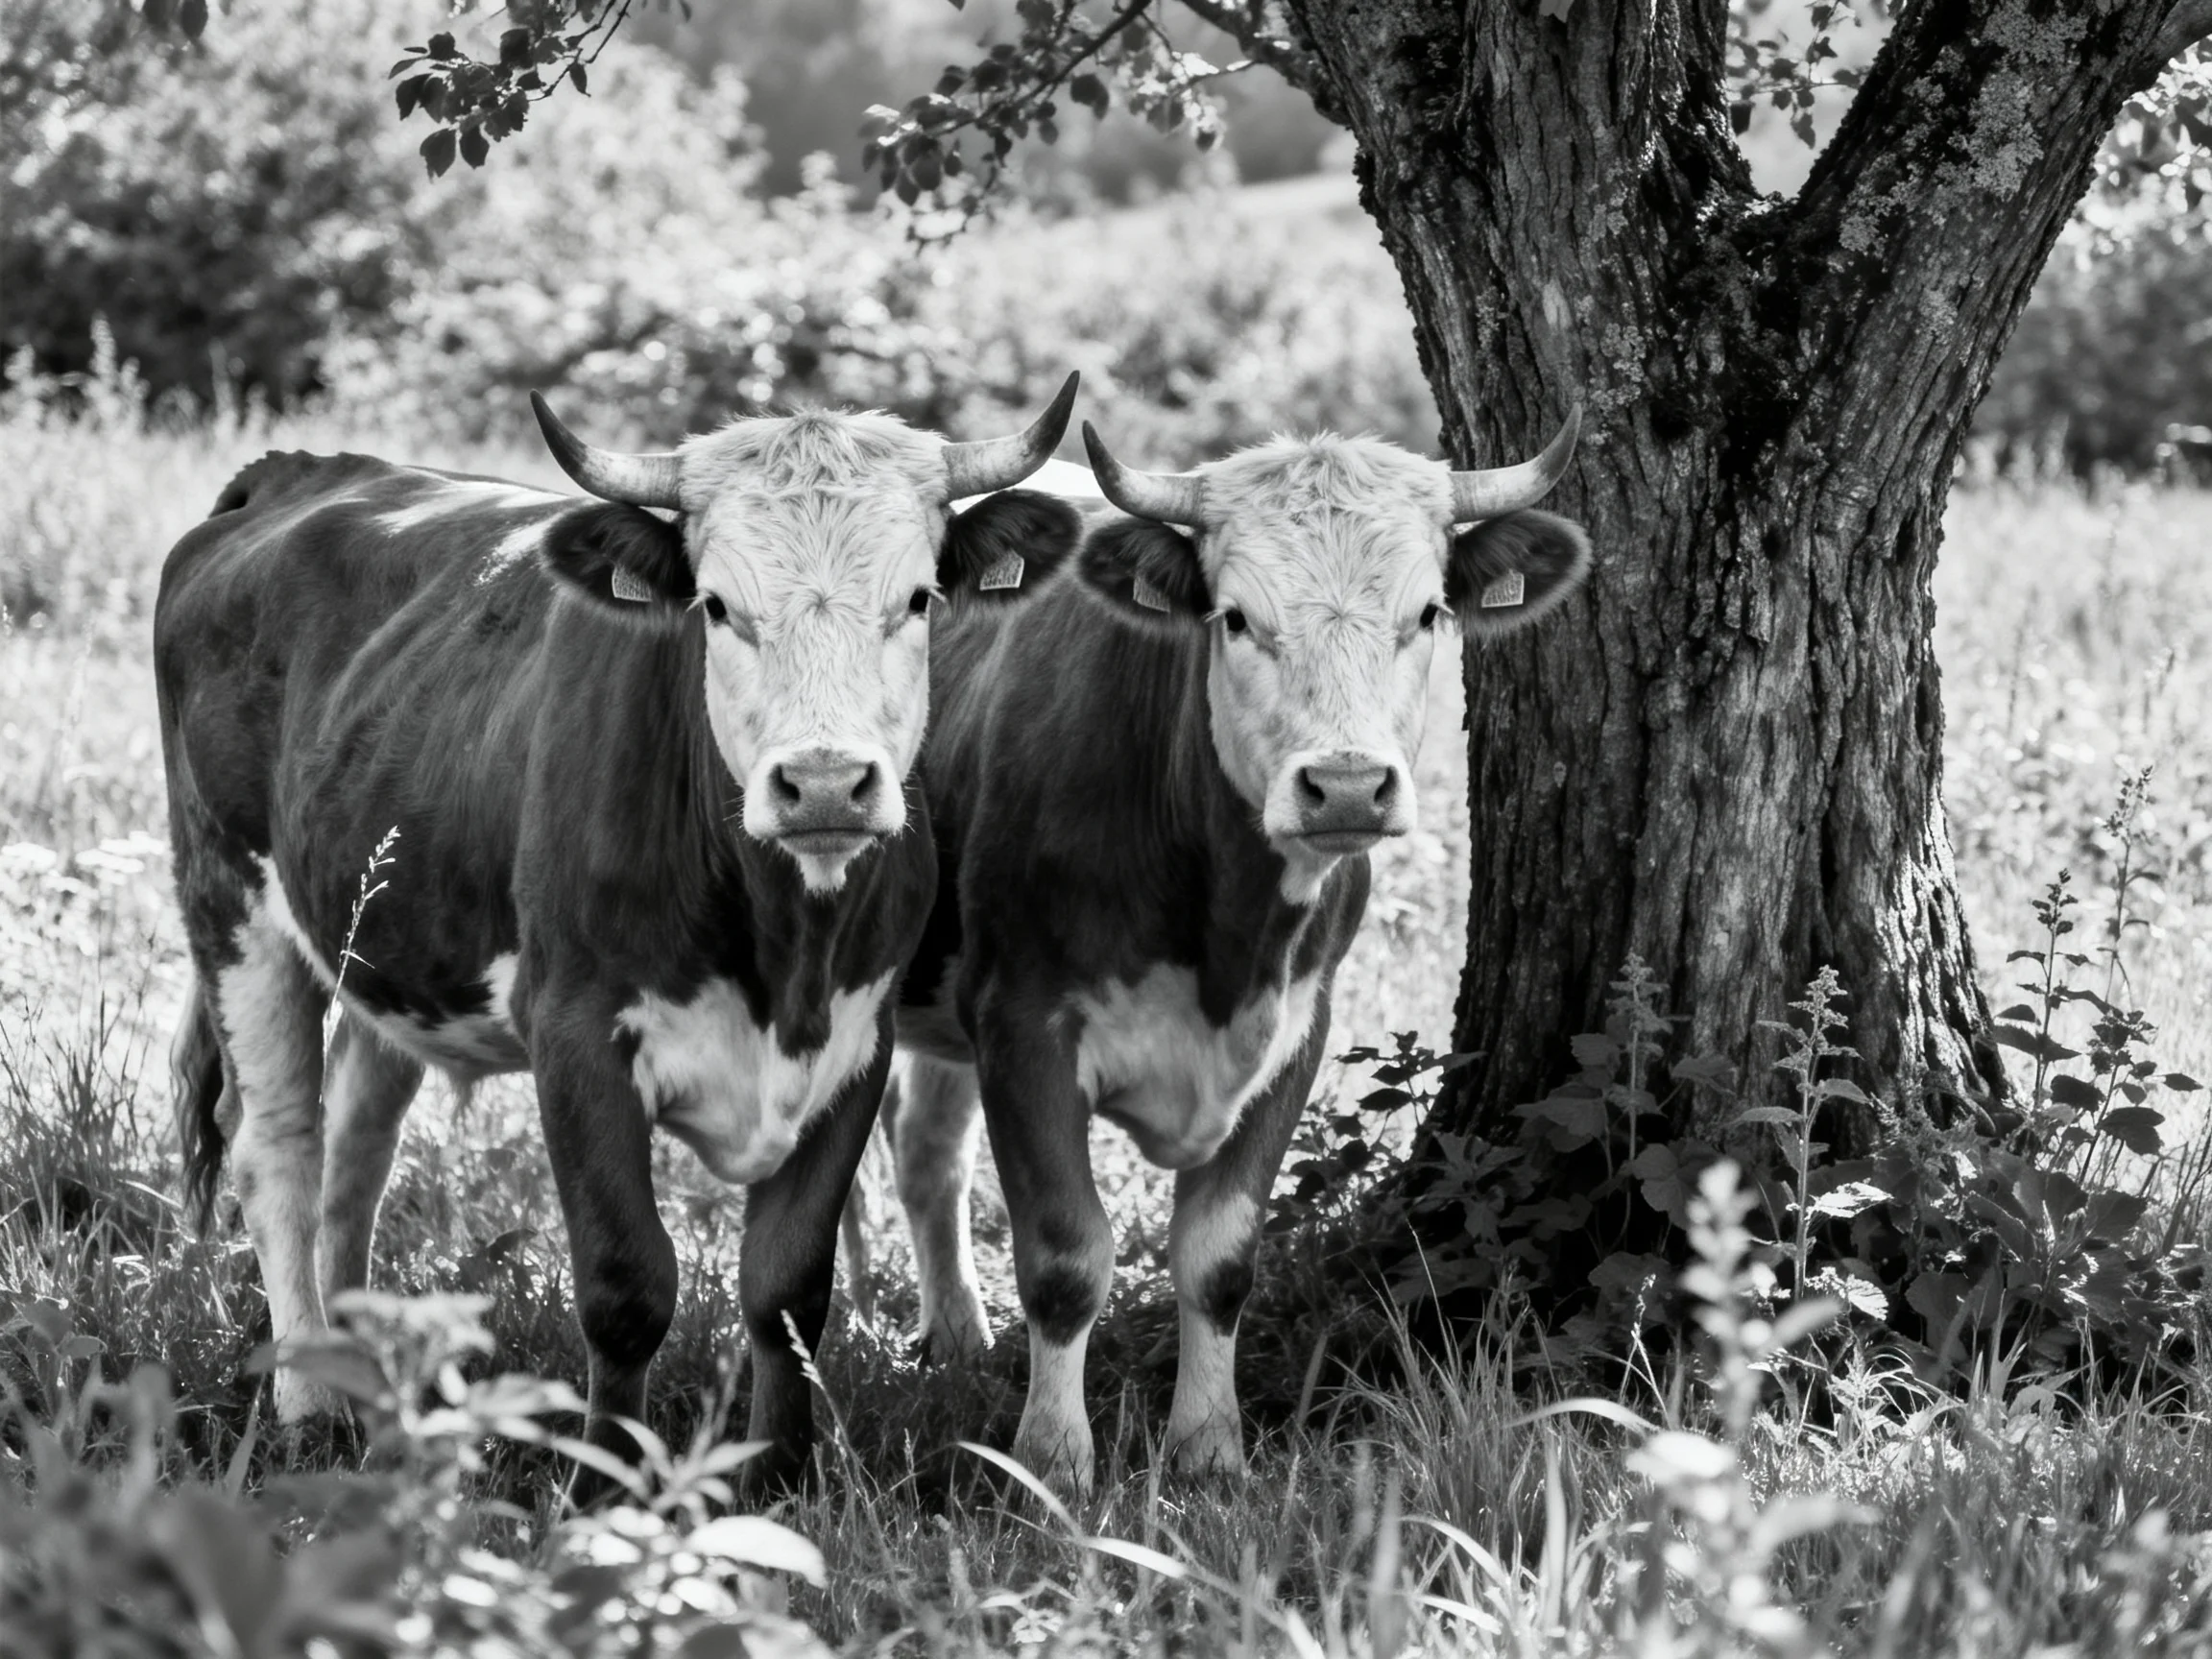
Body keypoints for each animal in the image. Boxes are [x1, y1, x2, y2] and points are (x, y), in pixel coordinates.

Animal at [155, 376, 1082, 1491]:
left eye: (917, 600)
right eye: (717, 605)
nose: (823, 783)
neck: (781, 945)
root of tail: (300, 471)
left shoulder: (856, 1045)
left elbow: (787, 1286)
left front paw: (776, 1476)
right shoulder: (577, 1038)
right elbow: (626, 1284)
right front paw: (603, 1481)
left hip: (385, 938)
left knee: (354, 1147)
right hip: (232, 904)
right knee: (280, 1149)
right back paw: (308, 1404)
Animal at [881, 409, 1591, 1490]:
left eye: (1428, 613)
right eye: (1237, 618)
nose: (1346, 786)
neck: (1223, 931)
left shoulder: (1296, 1032)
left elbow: (1218, 1257)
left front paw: (1209, 1451)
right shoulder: (1022, 1025)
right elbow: (1064, 1258)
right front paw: (1054, 1462)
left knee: (923, 1150)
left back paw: (955, 1337)